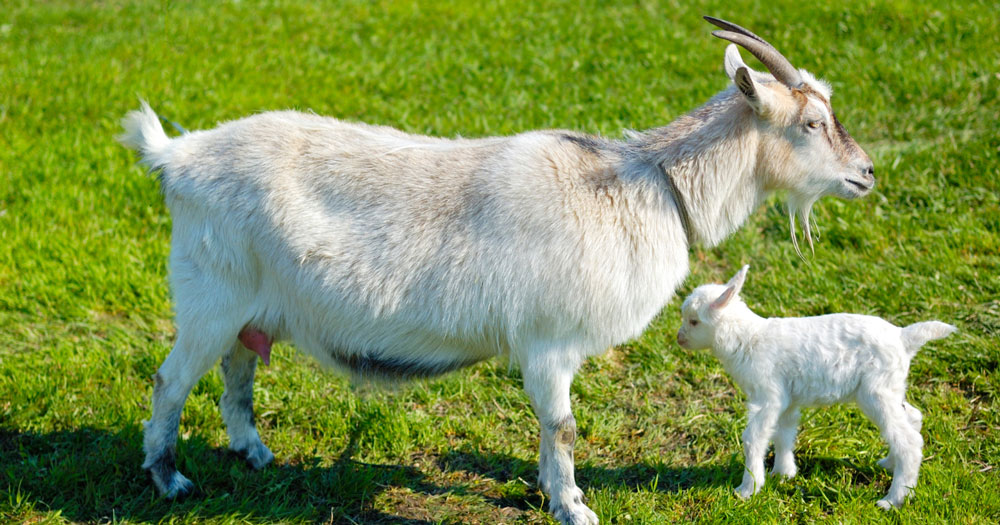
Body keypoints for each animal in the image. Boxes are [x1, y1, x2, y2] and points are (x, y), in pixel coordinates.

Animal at [117, 17, 876, 524]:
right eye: (811, 123)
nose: (867, 173)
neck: (650, 186)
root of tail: (177, 156)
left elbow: (549, 428)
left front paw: (548, 491)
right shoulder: (550, 342)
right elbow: (563, 426)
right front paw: (574, 505)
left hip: (248, 307)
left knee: (238, 370)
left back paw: (254, 452)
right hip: (208, 298)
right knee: (169, 381)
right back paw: (169, 479)